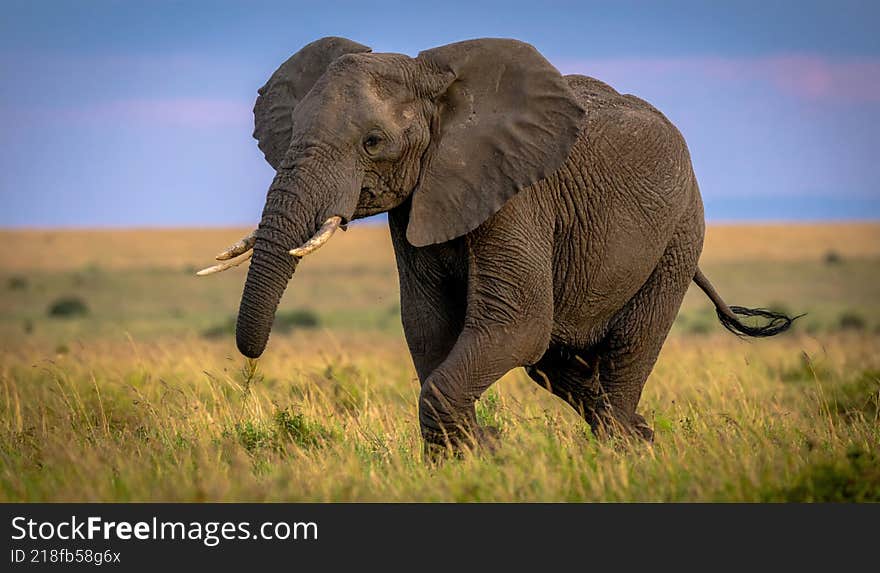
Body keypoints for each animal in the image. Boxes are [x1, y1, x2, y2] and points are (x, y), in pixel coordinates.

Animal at [198, 36, 797, 454]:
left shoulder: (518, 194)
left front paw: (483, 451)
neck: (438, 88)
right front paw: (474, 453)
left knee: (626, 353)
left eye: (373, 142)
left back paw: (627, 452)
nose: (250, 357)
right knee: (558, 366)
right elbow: (427, 324)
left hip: (679, 235)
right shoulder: (416, 200)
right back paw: (639, 439)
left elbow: (515, 323)